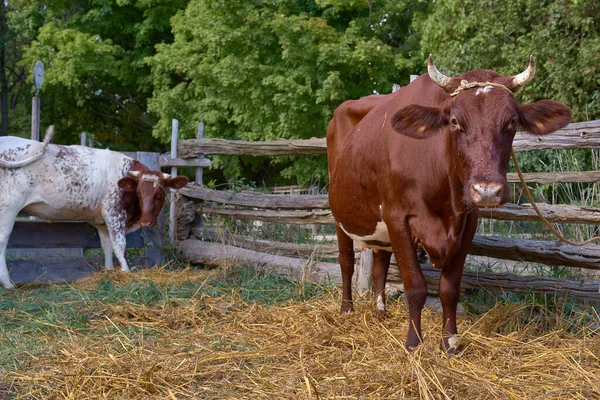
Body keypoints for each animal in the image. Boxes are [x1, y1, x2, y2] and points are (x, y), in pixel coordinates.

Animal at [0, 128, 188, 288]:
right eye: (139, 194)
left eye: (159, 195)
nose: (146, 221)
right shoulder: (113, 213)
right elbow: (119, 244)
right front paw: (126, 272)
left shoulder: (102, 222)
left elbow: (107, 246)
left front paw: (110, 271)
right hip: (8, 208)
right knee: (3, 241)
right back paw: (8, 284)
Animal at [328, 56, 572, 354]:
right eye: (455, 121)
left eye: (512, 121)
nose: (487, 190)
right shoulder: (398, 219)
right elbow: (415, 286)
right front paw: (414, 343)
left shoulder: (467, 223)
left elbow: (449, 288)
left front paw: (450, 342)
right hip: (339, 215)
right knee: (346, 261)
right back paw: (346, 310)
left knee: (379, 265)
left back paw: (380, 312)